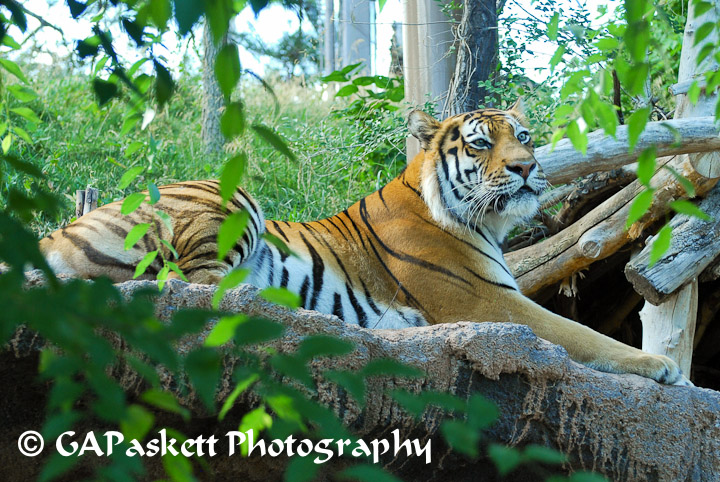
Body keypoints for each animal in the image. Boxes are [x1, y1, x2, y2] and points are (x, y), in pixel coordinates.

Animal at [38, 100, 691, 386]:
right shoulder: (488, 301)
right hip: (230, 199)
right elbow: (580, 333)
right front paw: (662, 366)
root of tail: (55, 231)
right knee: (193, 290)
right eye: (482, 143)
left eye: (525, 136)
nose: (529, 168)